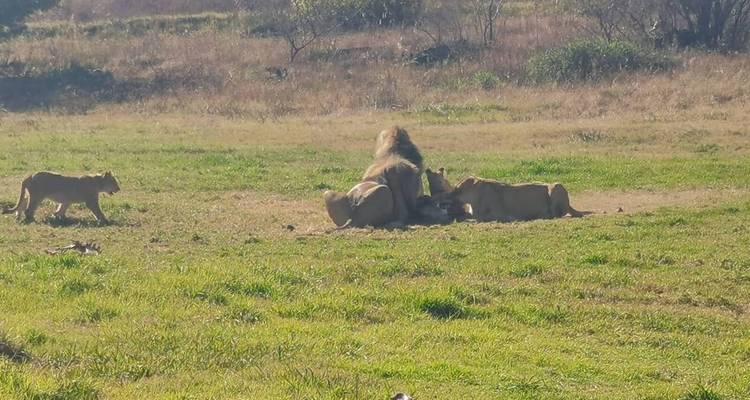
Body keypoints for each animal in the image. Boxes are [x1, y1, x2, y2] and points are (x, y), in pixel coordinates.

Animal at [425, 167, 584, 222]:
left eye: (458, 190)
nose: (445, 197)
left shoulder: (490, 215)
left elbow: (467, 216)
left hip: (556, 186)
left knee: (557, 213)